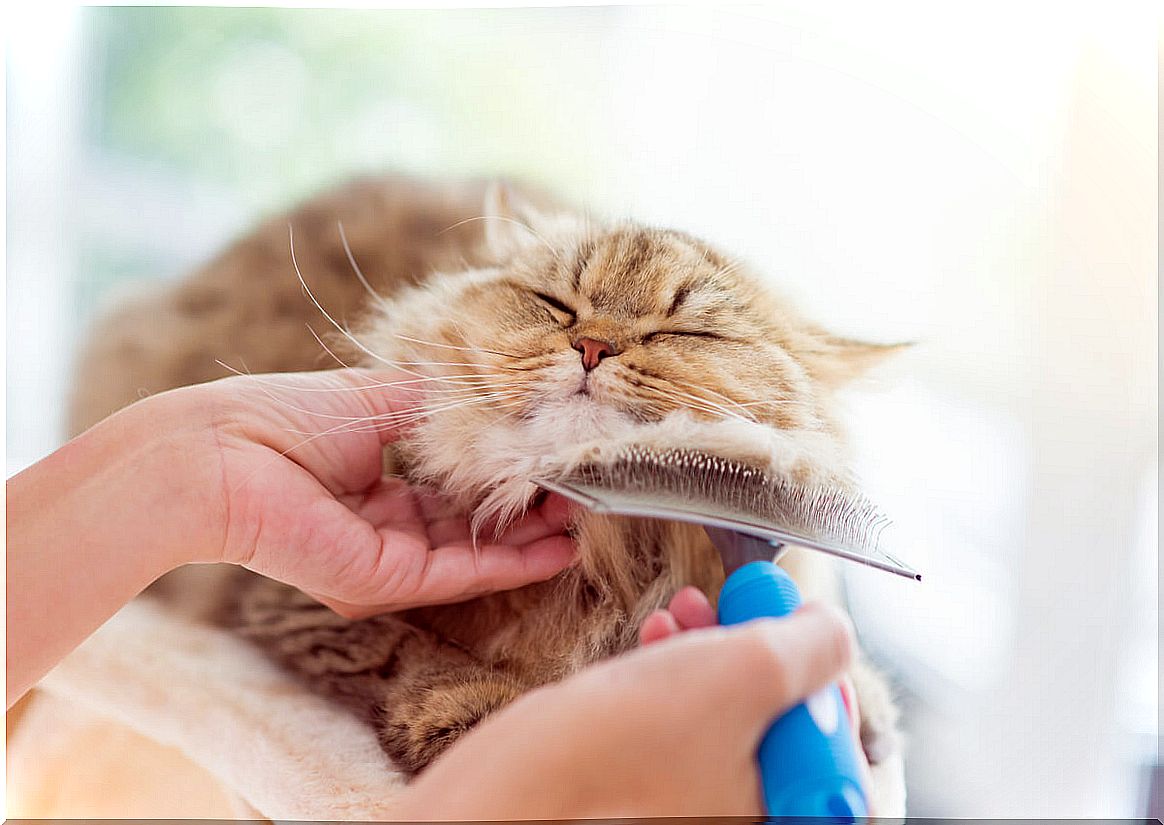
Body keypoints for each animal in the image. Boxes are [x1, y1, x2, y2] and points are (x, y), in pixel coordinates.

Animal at [70, 171, 907, 809]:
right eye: (556, 304)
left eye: (684, 333)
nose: (591, 346)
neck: (600, 564)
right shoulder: (286, 594)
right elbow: (410, 652)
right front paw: (479, 717)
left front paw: (863, 708)